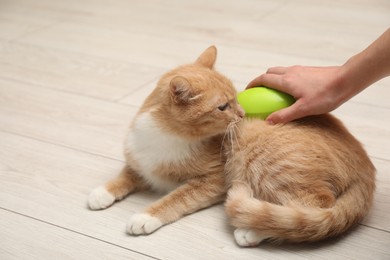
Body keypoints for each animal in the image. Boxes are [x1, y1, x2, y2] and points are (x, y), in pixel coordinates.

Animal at [88, 45, 244, 235]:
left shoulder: (214, 180)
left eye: (236, 98)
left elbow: (177, 198)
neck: (168, 136)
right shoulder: (139, 161)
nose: (243, 114)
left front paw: (145, 217)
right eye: (222, 107)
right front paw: (103, 192)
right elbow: (124, 176)